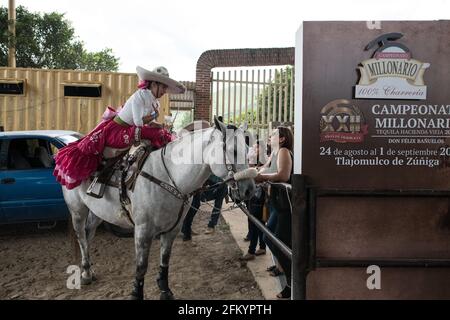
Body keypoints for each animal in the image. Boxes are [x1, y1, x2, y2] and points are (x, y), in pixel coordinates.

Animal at [62, 117, 256, 300]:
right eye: (234, 150)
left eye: (248, 150)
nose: (249, 190)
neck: (169, 177)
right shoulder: (143, 231)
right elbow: (141, 267)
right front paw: (136, 294)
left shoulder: (172, 230)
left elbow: (165, 261)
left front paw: (165, 290)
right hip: (78, 211)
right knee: (81, 237)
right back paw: (86, 273)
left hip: (97, 212)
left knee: (88, 234)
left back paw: (88, 269)